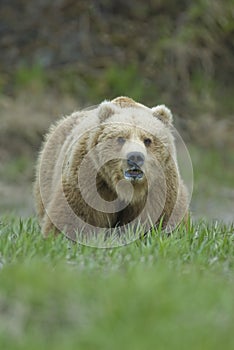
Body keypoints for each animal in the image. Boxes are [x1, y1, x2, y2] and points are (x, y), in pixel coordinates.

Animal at [33, 95, 189, 243]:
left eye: (147, 140)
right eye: (121, 138)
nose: (135, 157)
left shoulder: (159, 187)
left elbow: (161, 218)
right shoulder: (90, 178)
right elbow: (74, 215)